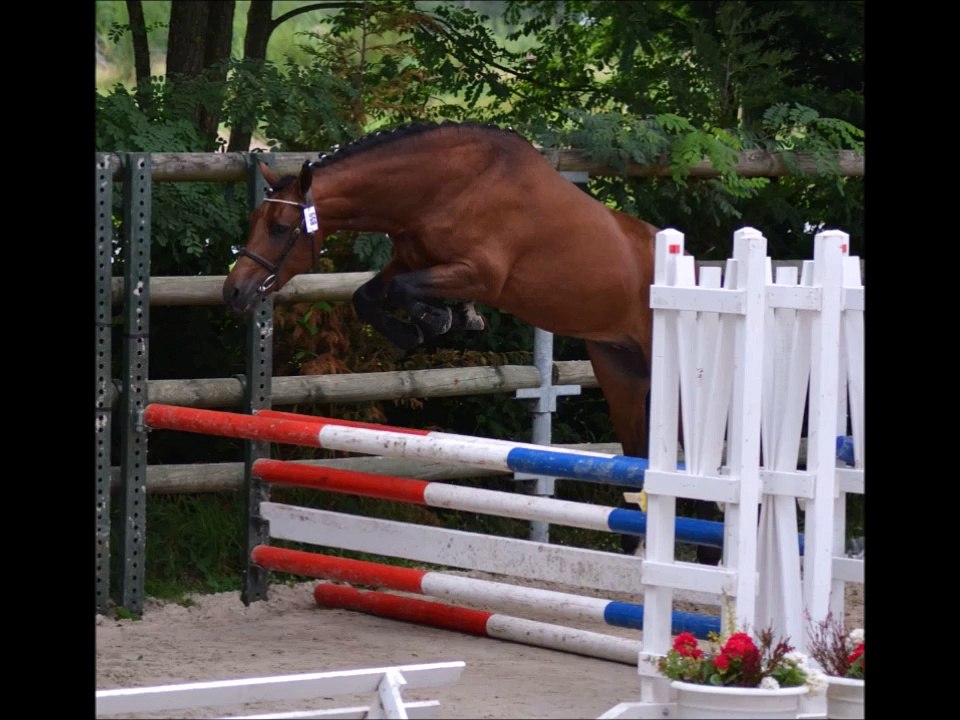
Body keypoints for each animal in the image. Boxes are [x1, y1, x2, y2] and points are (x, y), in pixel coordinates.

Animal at [223, 121, 668, 557]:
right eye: (254, 222)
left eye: (281, 228)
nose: (234, 292)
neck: (446, 188)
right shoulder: (410, 260)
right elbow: (368, 295)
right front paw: (431, 323)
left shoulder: (480, 273)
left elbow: (402, 290)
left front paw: (439, 319)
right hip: (620, 373)